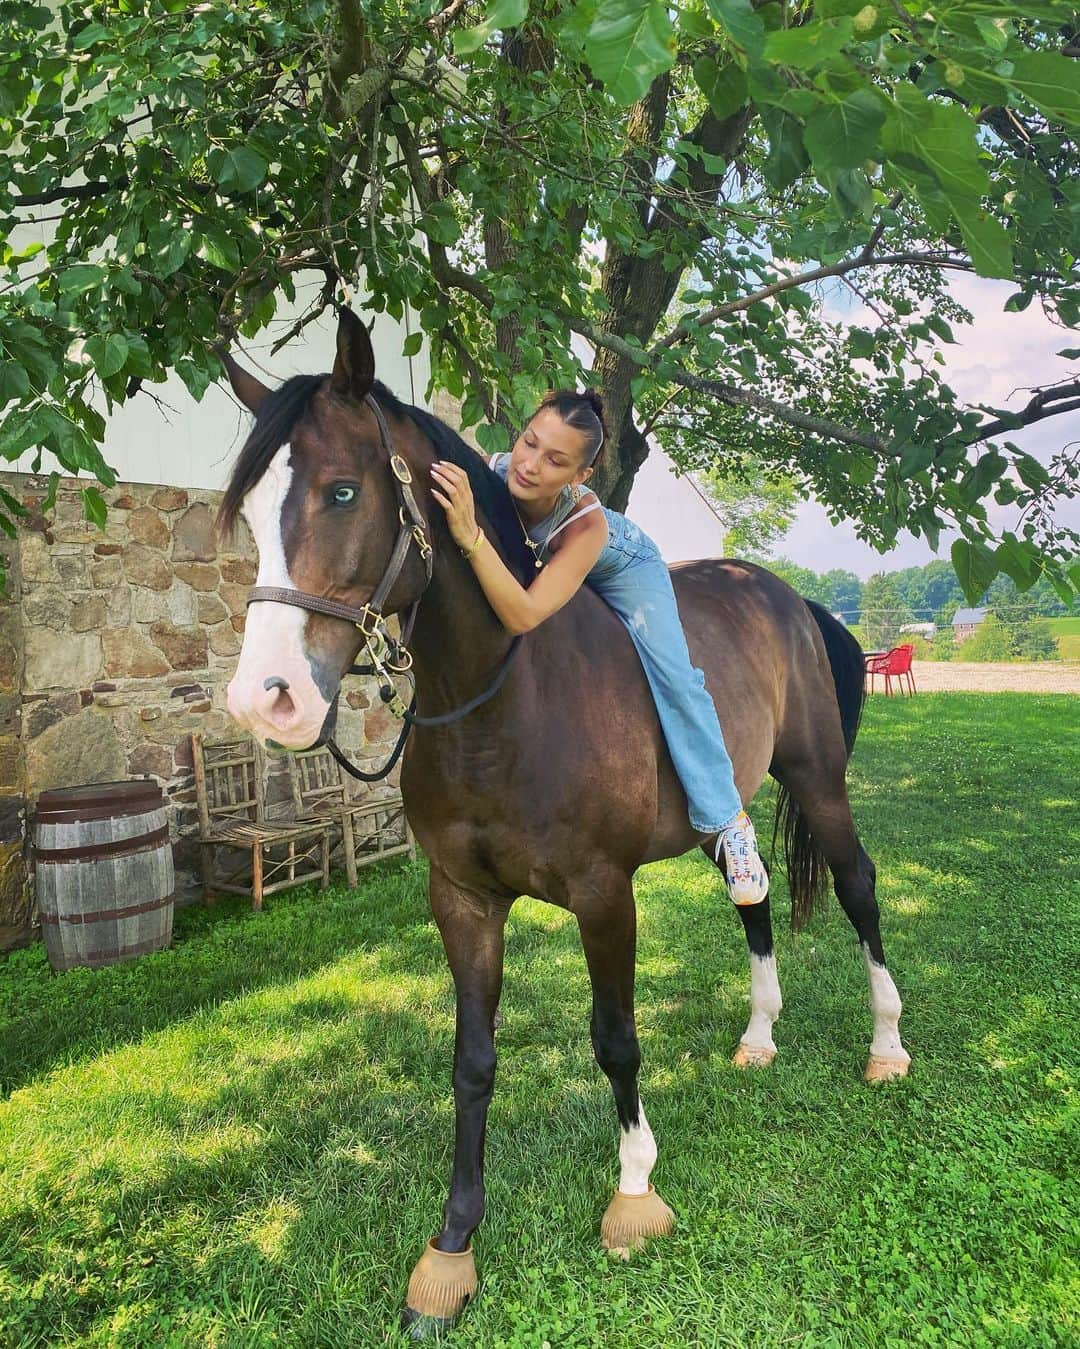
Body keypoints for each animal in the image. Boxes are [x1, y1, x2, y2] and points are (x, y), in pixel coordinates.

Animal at [221, 312, 911, 1338]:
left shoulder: (603, 894)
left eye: (343, 490)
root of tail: (783, 593)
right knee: (750, 900)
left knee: (860, 889)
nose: (266, 699)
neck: (503, 700)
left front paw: (634, 1192)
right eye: (248, 510)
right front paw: (452, 1247)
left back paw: (887, 1046)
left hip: (819, 780)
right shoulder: (462, 900)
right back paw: (759, 1036)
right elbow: (471, 1062)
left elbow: (616, 1038)